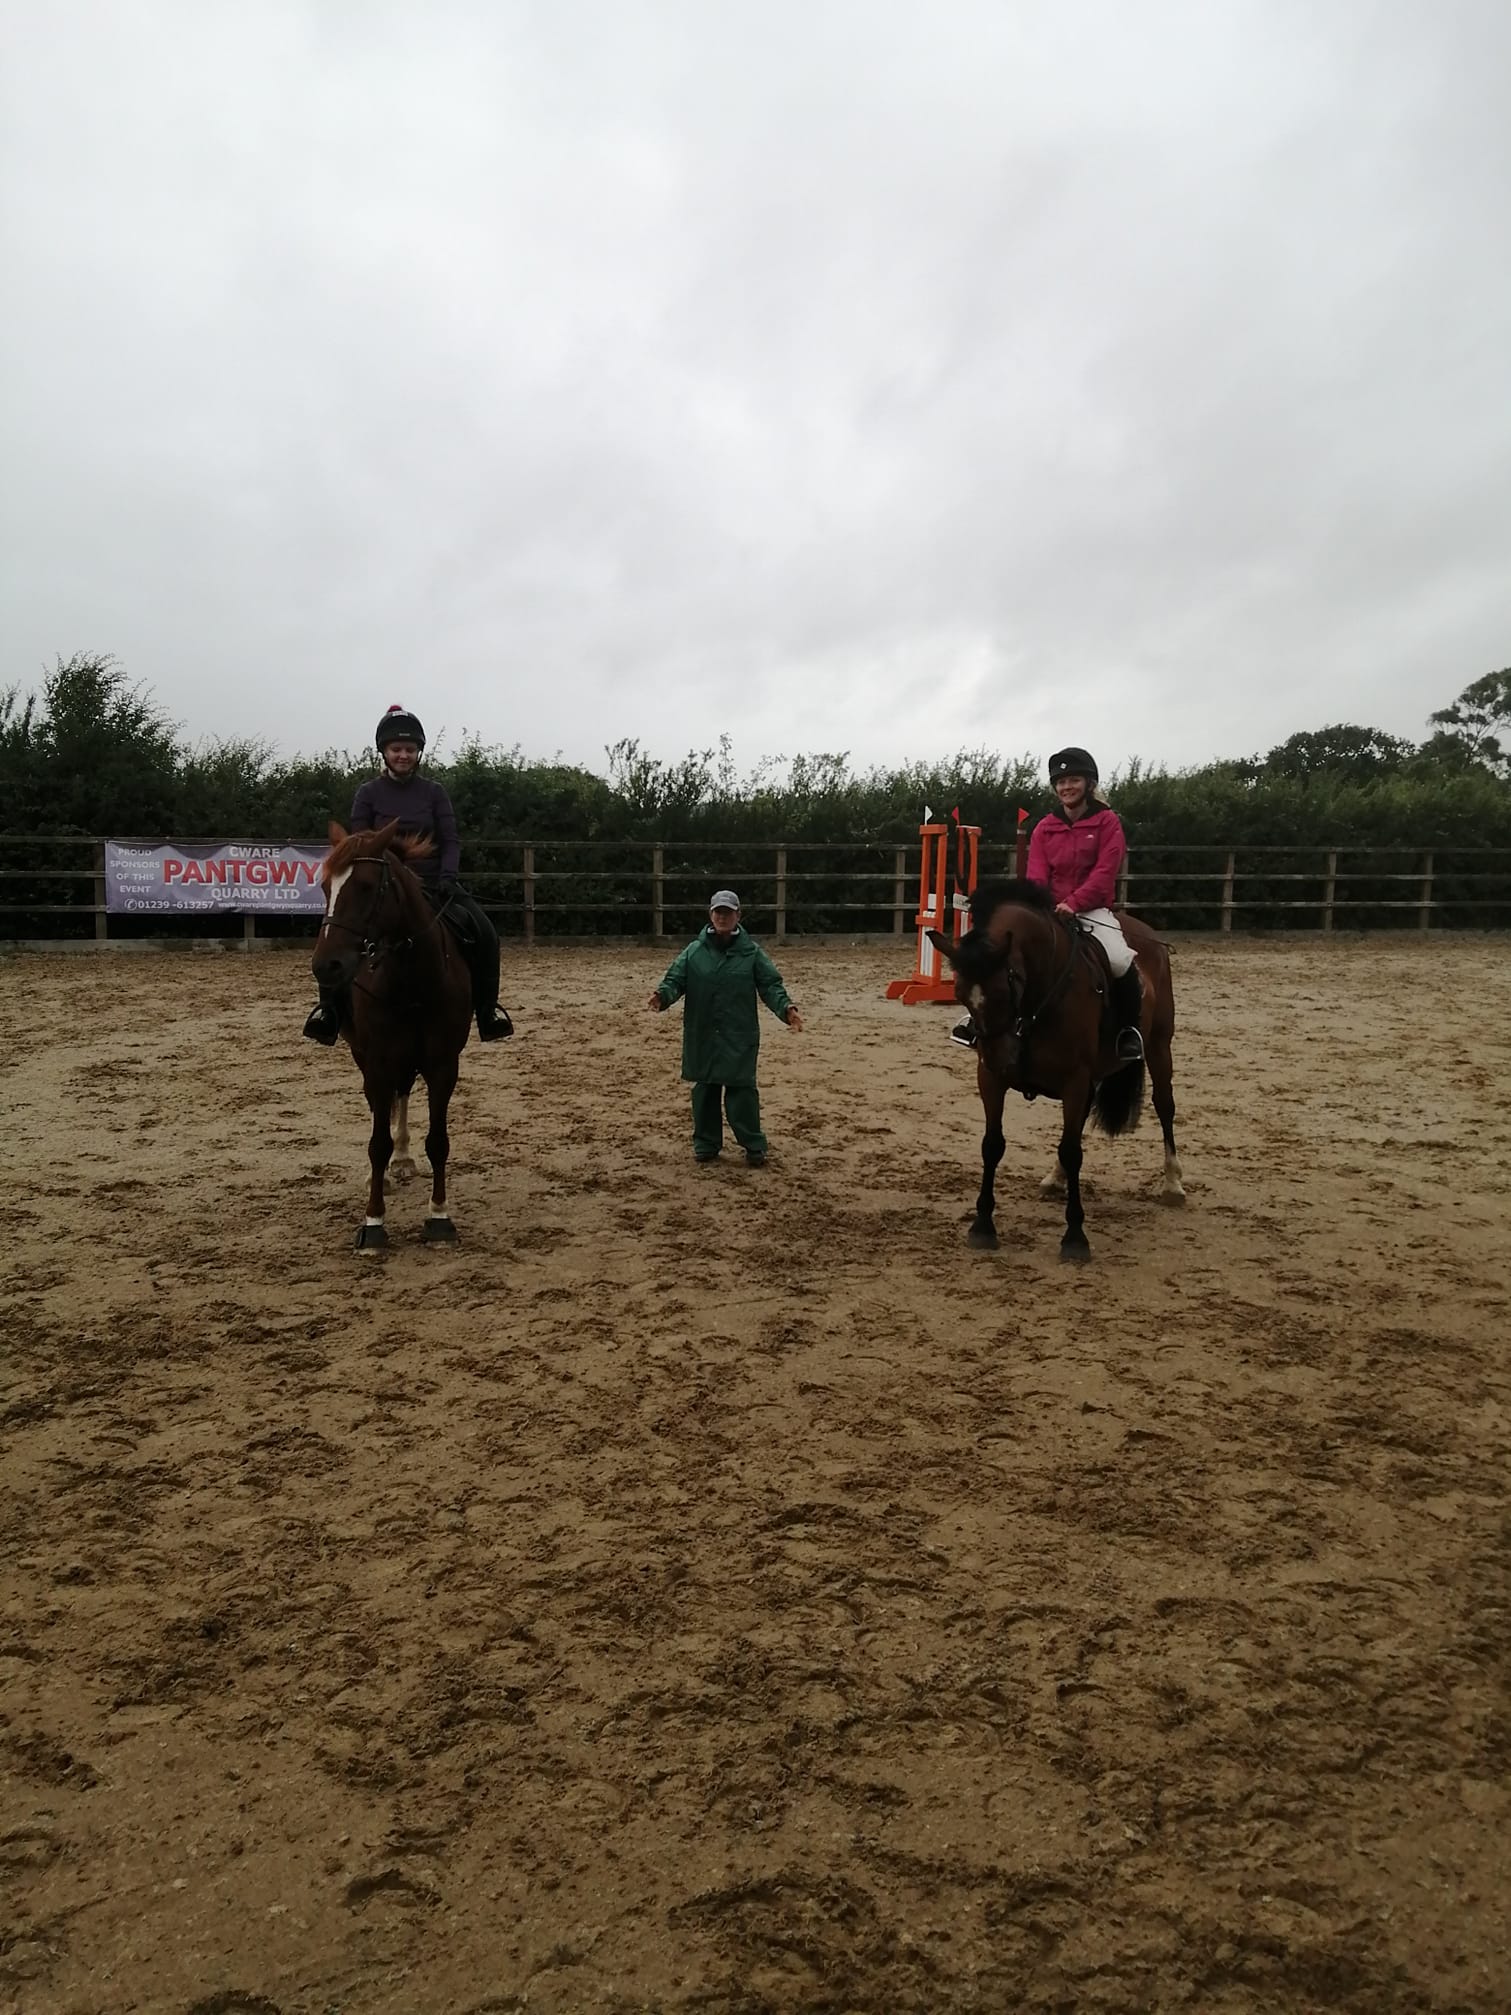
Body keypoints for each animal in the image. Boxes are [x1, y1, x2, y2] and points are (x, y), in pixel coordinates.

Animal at [308, 818, 471, 1241]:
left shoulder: (443, 1065)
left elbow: (439, 1141)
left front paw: (439, 1216)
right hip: (366, 1057)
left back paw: (403, 1159)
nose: (326, 965)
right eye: (325, 887)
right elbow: (376, 1142)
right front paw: (373, 1222)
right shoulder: (378, 1062)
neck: (411, 980)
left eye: (366, 886)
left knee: (404, 1094)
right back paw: (380, 1174)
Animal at [930, 878, 1192, 1257]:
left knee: (1164, 1106)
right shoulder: (991, 1080)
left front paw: (1075, 1237)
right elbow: (992, 1145)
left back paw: (1172, 1183)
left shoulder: (1074, 1079)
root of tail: (1144, 932)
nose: (1002, 1059)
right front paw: (983, 1226)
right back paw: (1056, 1179)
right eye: (961, 994)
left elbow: (1072, 1151)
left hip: (1158, 1047)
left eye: (1005, 988)